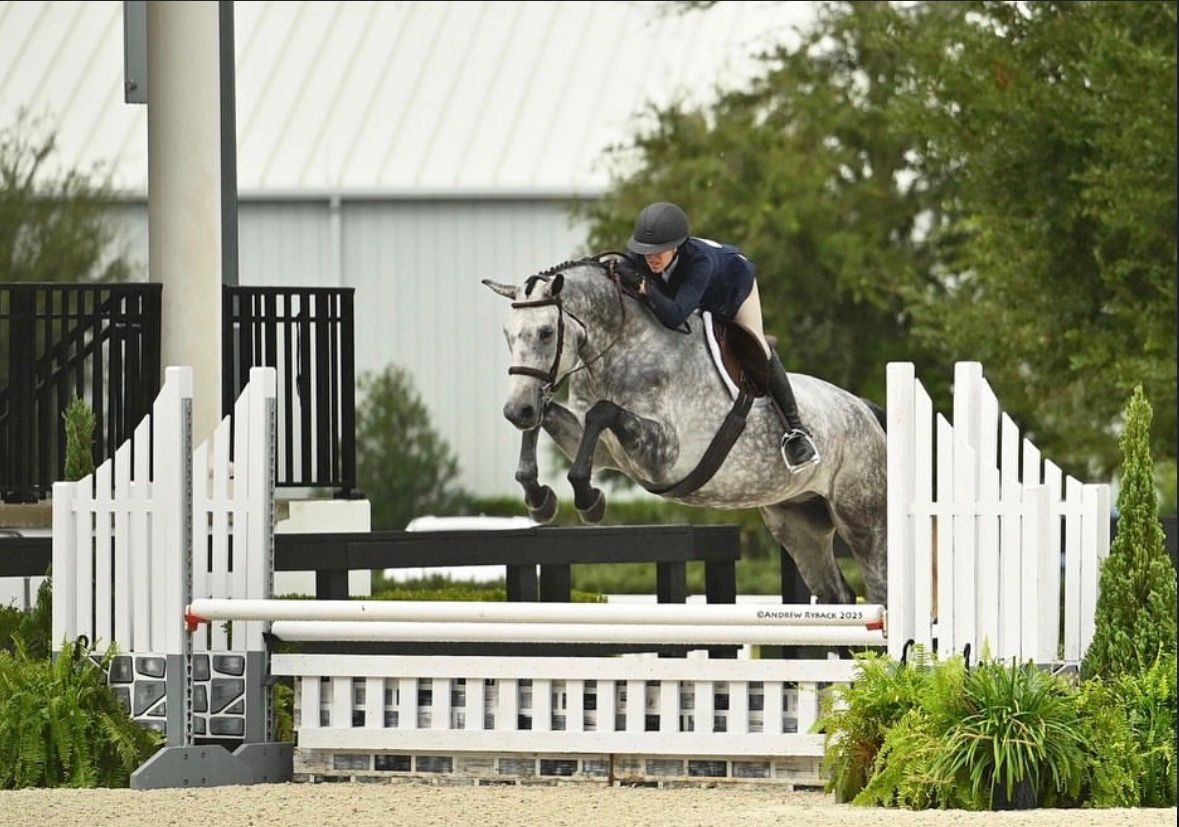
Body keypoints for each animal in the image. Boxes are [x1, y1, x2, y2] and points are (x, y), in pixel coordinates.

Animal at [483, 256, 888, 605]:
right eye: (507, 334)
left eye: (546, 332)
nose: (516, 410)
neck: (620, 353)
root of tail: (864, 410)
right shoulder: (601, 450)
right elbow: (551, 418)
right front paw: (539, 498)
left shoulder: (664, 455)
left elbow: (602, 412)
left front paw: (588, 500)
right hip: (798, 524)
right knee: (838, 596)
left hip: (864, 521)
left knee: (881, 592)